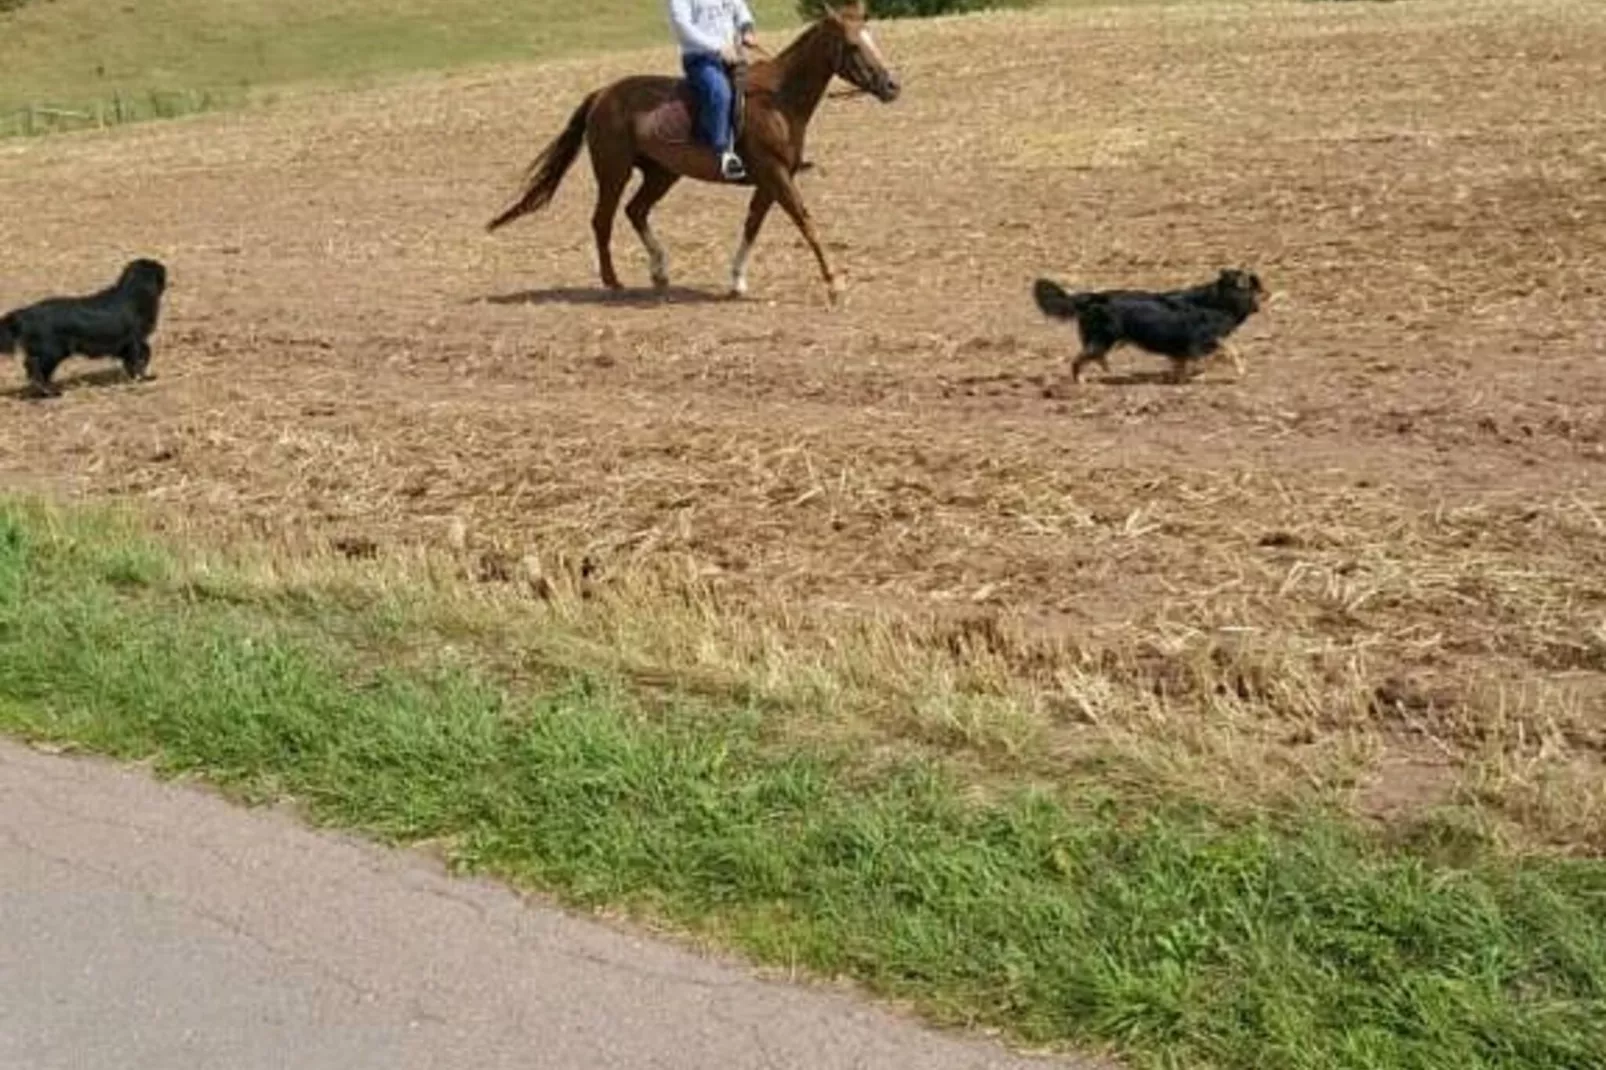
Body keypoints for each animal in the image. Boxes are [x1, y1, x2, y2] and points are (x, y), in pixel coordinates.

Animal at [0, 257, 169, 395]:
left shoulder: (128, 344)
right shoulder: (134, 340)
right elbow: (141, 355)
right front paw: (144, 377)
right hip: (52, 351)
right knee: (34, 368)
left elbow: (139, 355)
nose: (164, 267)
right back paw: (50, 391)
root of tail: (26, 313)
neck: (134, 294)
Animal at [475, 2, 905, 306]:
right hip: (613, 171)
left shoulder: (770, 181)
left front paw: (737, 281)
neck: (779, 100)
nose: (891, 86)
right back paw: (613, 282)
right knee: (603, 220)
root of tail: (603, 94)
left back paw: (660, 273)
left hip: (661, 173)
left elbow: (752, 225)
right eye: (853, 45)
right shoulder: (776, 176)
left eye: (873, 39)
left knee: (635, 211)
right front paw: (835, 285)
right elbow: (806, 223)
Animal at [1027, 265, 1265, 380]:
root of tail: (1093, 297)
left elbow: (1182, 363)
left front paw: (1178, 378)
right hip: (1103, 337)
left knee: (1091, 357)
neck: (1218, 300)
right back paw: (1082, 382)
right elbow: (1231, 350)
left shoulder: (1186, 346)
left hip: (1103, 339)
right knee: (1079, 361)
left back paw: (1106, 370)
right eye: (1256, 289)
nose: (1261, 305)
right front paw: (1239, 370)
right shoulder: (1205, 339)